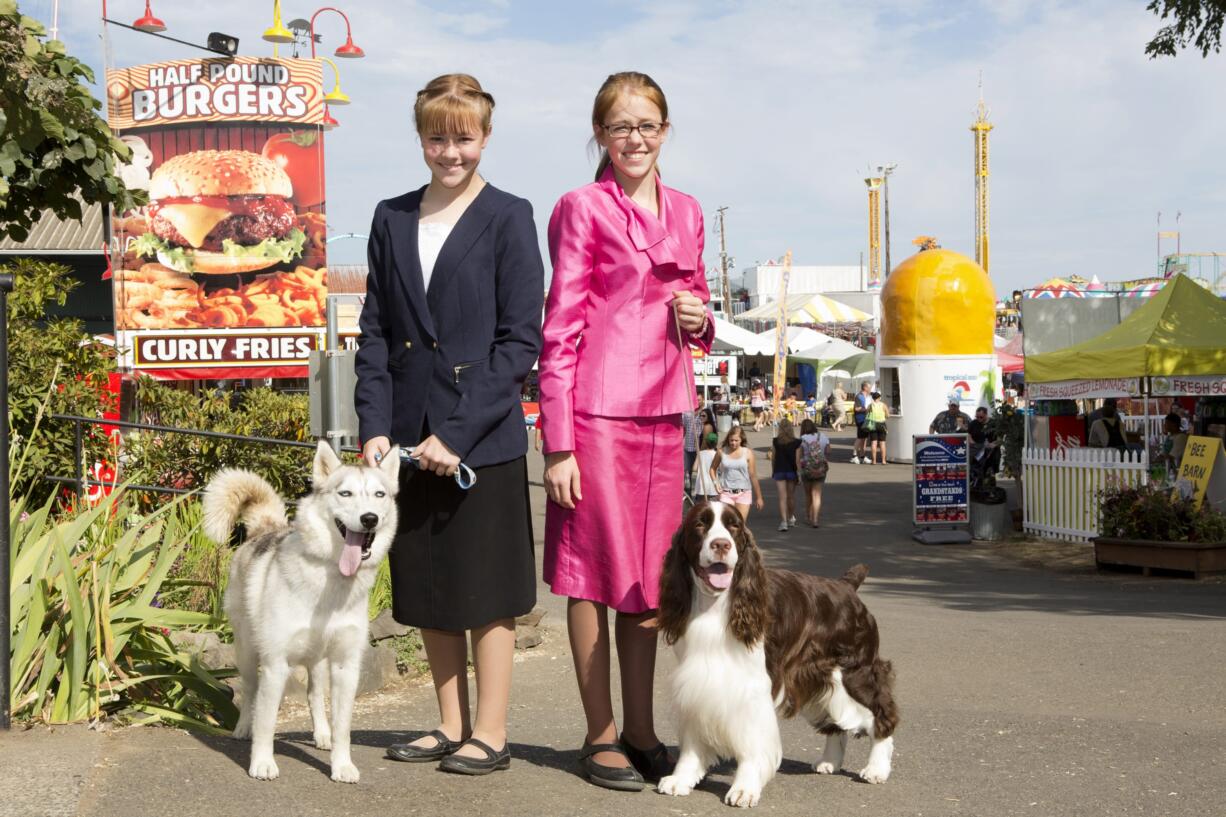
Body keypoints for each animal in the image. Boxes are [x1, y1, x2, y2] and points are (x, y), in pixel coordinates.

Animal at [203, 441, 399, 780]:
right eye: (345, 493)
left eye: (379, 494)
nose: (370, 518)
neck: (330, 579)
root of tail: (265, 529)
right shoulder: (275, 664)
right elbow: (267, 722)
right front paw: (262, 762)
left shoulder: (346, 666)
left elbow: (343, 727)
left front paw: (342, 765)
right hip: (247, 651)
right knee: (250, 691)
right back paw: (242, 728)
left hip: (317, 661)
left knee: (314, 695)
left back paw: (322, 734)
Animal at [662, 500, 902, 804]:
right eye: (699, 524)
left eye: (734, 526)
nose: (721, 545)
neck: (715, 605)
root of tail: (846, 586)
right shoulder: (696, 678)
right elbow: (693, 737)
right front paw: (681, 779)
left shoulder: (753, 687)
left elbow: (752, 742)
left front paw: (744, 789)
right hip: (815, 676)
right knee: (836, 721)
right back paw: (830, 762)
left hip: (856, 672)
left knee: (882, 713)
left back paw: (876, 769)